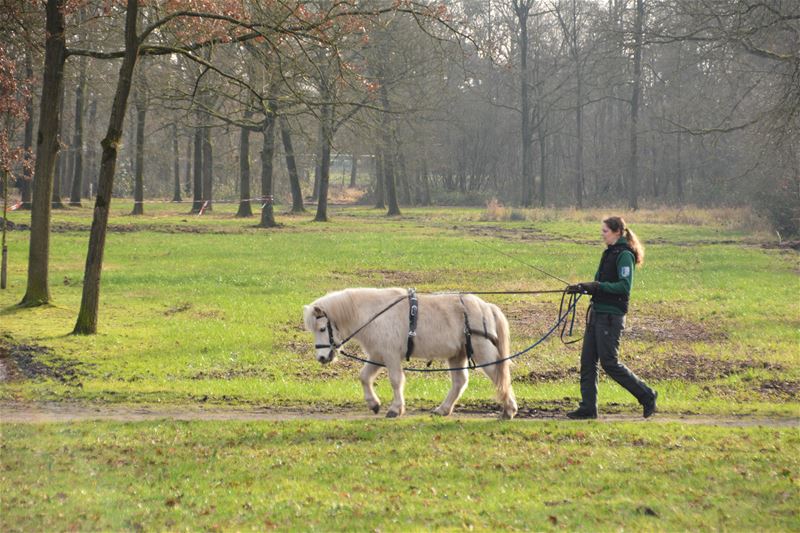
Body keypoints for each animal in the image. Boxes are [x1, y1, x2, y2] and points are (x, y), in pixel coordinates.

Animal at [302, 286, 520, 420]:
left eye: (322, 328)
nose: (322, 358)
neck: (374, 314)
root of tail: (487, 307)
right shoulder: (377, 355)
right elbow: (364, 376)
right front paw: (374, 404)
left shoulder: (390, 356)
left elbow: (396, 381)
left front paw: (395, 409)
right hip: (457, 355)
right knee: (460, 382)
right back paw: (443, 409)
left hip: (482, 351)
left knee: (499, 375)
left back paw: (509, 409)